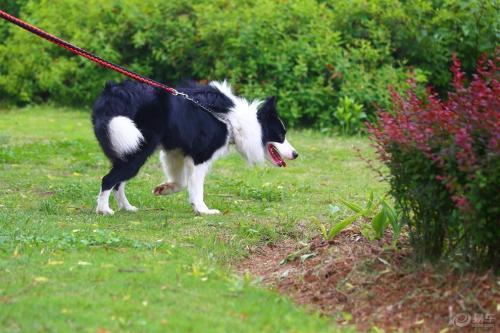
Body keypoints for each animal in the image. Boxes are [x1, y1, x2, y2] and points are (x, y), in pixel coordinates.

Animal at [91, 80, 296, 215]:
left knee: (118, 182)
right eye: (280, 136)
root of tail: (113, 96)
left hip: (125, 146)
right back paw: (103, 209)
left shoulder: (175, 153)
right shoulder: (199, 156)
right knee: (109, 179)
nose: (296, 154)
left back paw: (126, 207)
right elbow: (197, 187)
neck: (235, 121)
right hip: (136, 147)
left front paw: (165, 188)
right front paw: (203, 210)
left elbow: (181, 182)